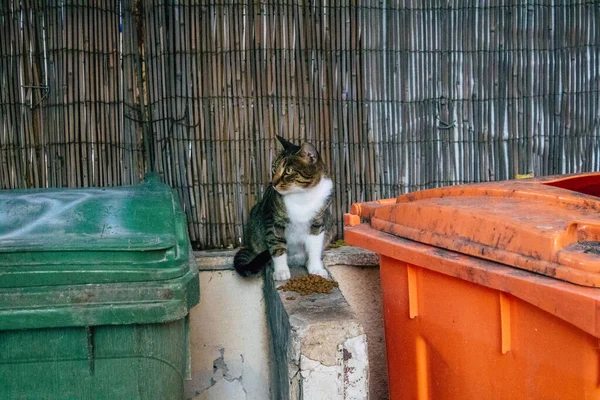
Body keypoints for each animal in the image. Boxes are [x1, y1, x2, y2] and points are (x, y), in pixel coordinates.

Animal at [234, 136, 336, 280]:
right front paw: (281, 271)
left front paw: (315, 268)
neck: (302, 195)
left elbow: (315, 247)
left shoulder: (317, 222)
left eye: (288, 171)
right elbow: (277, 246)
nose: (273, 183)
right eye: (273, 169)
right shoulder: (273, 222)